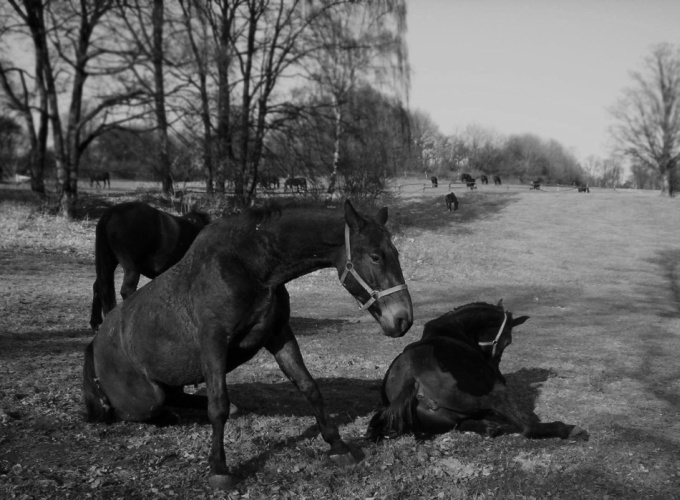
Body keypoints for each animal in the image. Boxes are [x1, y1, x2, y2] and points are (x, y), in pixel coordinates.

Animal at [89, 199, 210, 332]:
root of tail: (112, 212)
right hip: (130, 266)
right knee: (127, 290)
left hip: (108, 261)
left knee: (99, 285)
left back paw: (96, 323)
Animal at [366, 300, 588, 442]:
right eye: (508, 341)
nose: (499, 374)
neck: (453, 330)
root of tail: (411, 381)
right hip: (497, 393)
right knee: (528, 428)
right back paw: (567, 429)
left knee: (460, 424)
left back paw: (487, 426)